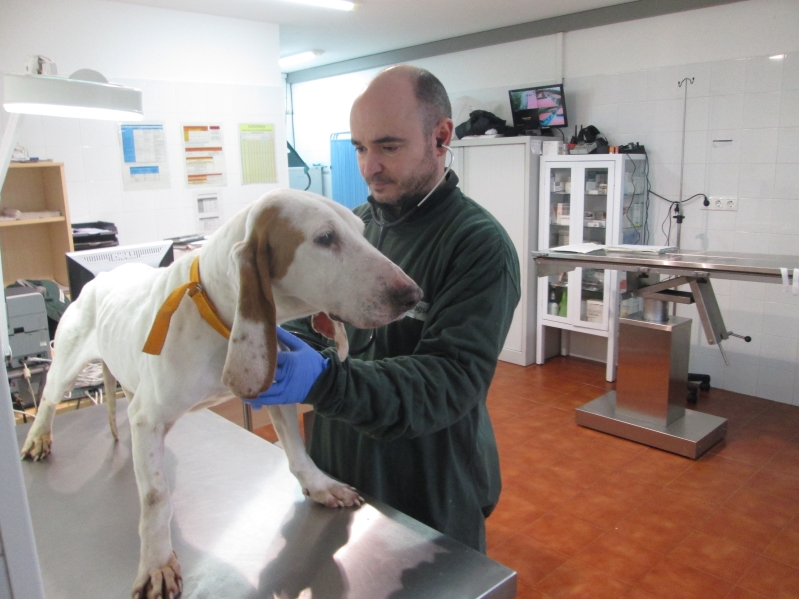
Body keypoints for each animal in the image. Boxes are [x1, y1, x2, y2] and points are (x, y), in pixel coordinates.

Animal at [18, 191, 422, 599]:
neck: (212, 309)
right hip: (66, 364)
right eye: (325, 238)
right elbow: (156, 497)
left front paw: (320, 485)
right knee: (49, 399)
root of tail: (101, 279)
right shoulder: (148, 419)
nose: (413, 295)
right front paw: (156, 561)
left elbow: (297, 450)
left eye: (361, 231)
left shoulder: (277, 384)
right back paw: (38, 438)